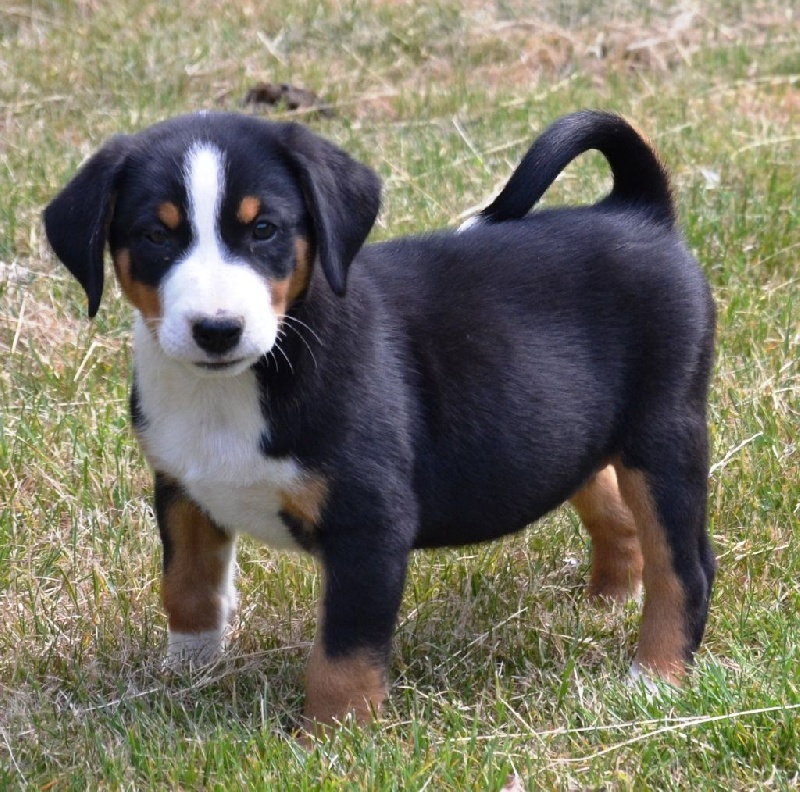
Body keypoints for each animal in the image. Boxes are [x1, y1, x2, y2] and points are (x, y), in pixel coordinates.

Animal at [45, 110, 720, 732]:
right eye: (155, 236)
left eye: (264, 229)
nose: (217, 330)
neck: (235, 386)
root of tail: (636, 210)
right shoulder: (181, 488)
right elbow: (187, 585)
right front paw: (187, 671)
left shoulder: (369, 523)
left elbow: (343, 651)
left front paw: (333, 739)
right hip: (576, 431)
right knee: (614, 513)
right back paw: (607, 603)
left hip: (664, 433)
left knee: (684, 567)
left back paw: (655, 677)